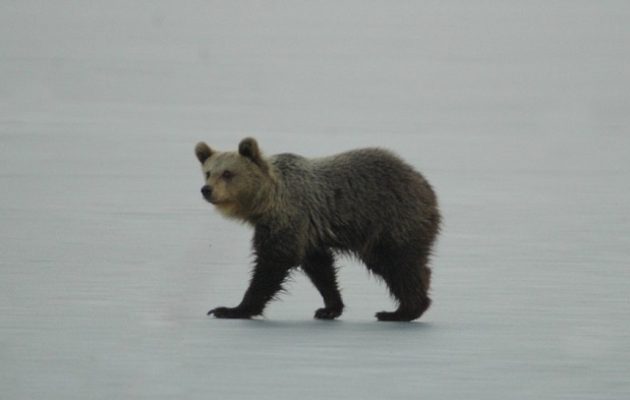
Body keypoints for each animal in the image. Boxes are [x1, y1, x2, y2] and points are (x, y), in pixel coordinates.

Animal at [195, 138, 442, 322]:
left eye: (227, 173)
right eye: (208, 172)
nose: (206, 190)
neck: (266, 201)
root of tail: (426, 186)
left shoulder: (289, 218)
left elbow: (273, 261)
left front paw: (231, 309)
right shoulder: (309, 232)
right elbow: (320, 267)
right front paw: (329, 308)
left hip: (390, 219)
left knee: (397, 263)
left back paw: (401, 311)